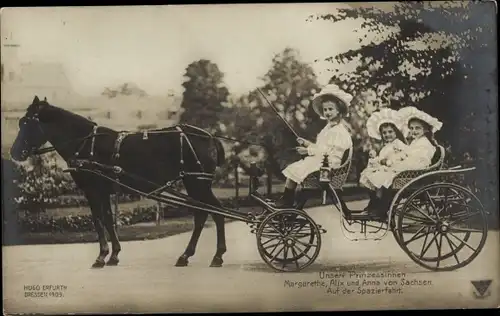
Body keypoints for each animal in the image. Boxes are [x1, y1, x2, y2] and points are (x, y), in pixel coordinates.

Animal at [10, 95, 229, 266]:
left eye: (26, 123)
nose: (14, 152)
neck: (86, 144)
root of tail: (210, 137)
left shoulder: (93, 191)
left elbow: (98, 220)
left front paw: (101, 256)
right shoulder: (104, 191)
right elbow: (108, 219)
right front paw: (114, 254)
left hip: (197, 183)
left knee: (214, 212)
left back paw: (213, 255)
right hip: (196, 184)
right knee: (205, 213)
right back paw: (191, 255)